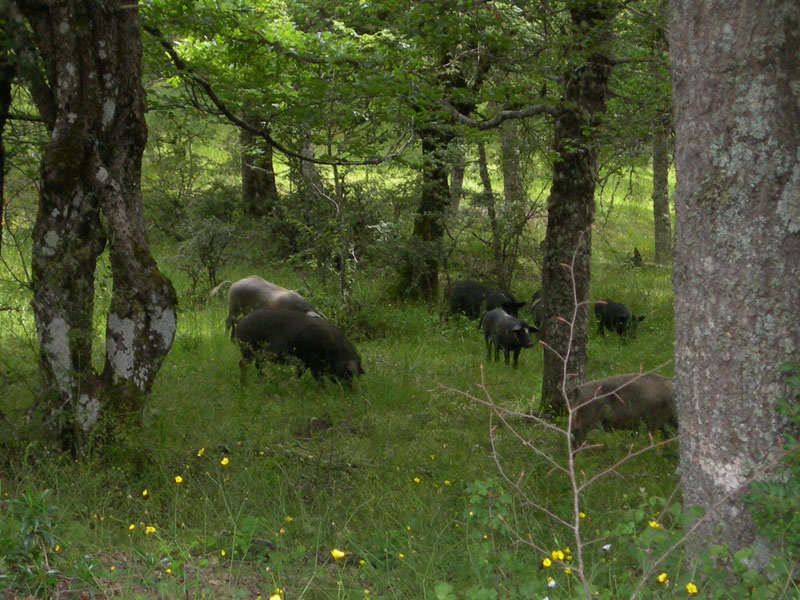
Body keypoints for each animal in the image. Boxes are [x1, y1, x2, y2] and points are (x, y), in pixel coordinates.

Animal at [236, 308, 364, 382]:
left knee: (258, 365)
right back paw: (244, 382)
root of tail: (240, 321)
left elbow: (300, 373)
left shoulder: (305, 362)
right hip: (247, 349)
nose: (349, 389)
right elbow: (316, 376)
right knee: (242, 364)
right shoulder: (312, 361)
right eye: (347, 374)